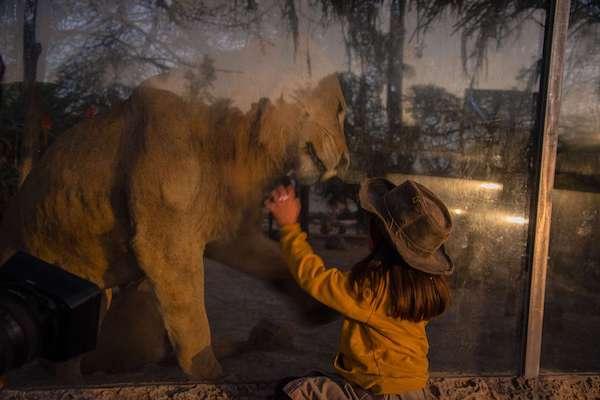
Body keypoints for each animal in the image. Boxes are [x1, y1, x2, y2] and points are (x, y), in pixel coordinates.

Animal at [0, 73, 350, 380]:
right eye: (340, 109)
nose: (347, 160)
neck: (243, 146)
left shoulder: (234, 234)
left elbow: (275, 261)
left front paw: (320, 308)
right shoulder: (164, 243)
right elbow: (191, 313)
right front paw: (209, 373)